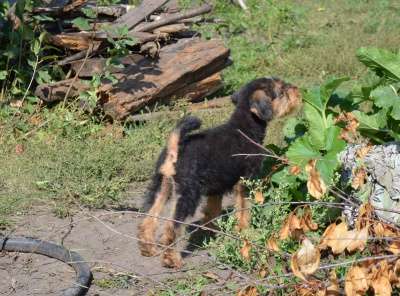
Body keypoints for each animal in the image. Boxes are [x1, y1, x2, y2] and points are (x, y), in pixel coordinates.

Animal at [137, 76, 300, 268]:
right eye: (281, 92)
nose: (297, 91)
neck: (245, 127)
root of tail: (175, 149)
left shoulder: (216, 187)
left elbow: (212, 210)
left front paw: (214, 232)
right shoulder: (246, 181)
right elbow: (244, 209)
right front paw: (244, 231)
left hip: (162, 186)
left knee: (149, 217)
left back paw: (148, 248)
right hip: (188, 195)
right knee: (172, 227)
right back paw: (172, 259)